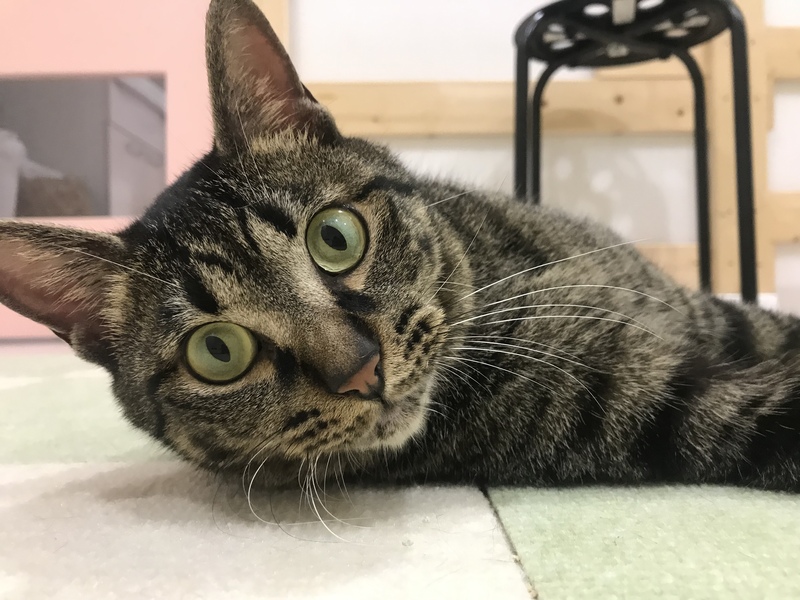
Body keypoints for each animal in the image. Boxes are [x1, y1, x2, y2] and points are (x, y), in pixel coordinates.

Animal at [1, 0, 799, 492]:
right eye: (217, 352)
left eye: (335, 237)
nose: (361, 370)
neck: (500, 265)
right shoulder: (645, 400)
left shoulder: (709, 314)